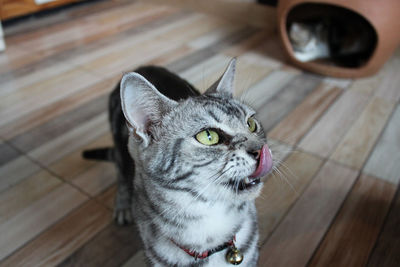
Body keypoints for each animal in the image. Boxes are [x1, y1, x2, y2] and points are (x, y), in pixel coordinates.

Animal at [83, 59, 274, 266]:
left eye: (251, 124)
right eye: (209, 136)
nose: (261, 150)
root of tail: (142, 66)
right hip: (120, 149)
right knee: (122, 175)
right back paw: (122, 205)